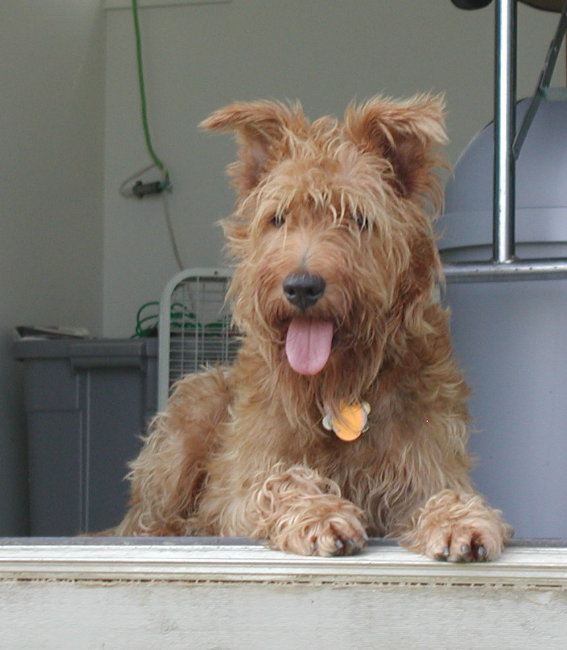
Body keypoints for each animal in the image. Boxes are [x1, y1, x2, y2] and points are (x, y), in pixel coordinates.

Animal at [116, 93, 516, 560]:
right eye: (278, 218)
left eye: (359, 218)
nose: (302, 287)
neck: (337, 386)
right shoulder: (236, 491)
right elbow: (279, 482)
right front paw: (321, 514)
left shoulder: (428, 466)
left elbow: (444, 493)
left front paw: (458, 519)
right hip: (195, 405)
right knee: (145, 519)